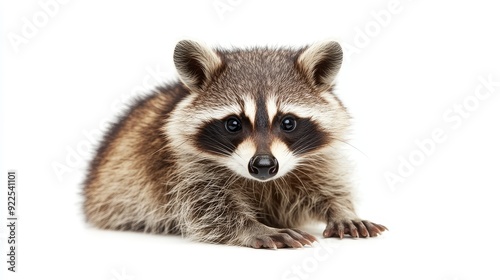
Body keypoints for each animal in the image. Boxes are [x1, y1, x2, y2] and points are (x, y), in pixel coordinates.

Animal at [83, 40, 386, 249]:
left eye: (288, 122)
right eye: (233, 124)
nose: (263, 165)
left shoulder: (319, 157)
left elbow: (328, 183)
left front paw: (342, 208)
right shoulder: (182, 168)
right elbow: (208, 209)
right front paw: (254, 228)